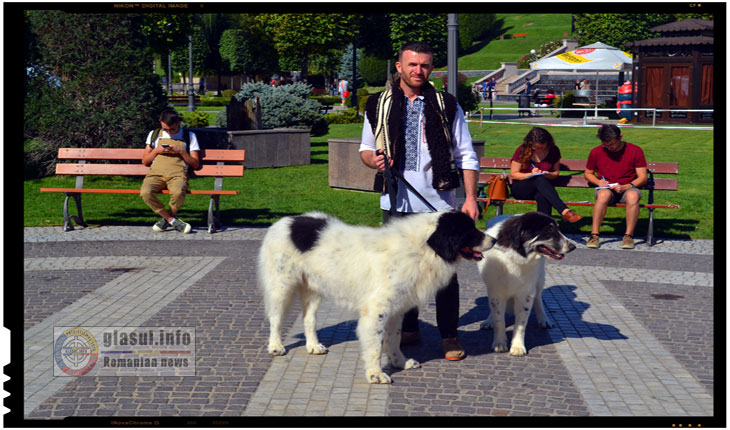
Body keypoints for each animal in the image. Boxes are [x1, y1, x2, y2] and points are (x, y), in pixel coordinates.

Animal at [258, 211, 492, 382]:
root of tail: (285, 221)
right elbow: (376, 345)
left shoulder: (397, 310)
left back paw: (313, 346)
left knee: (308, 319)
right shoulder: (376, 310)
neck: (420, 249)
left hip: (314, 289)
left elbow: (394, 339)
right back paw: (276, 346)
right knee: (275, 318)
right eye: (469, 231)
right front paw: (375, 374)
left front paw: (400, 362)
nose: (494, 239)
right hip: (282, 286)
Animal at [478, 212, 576, 356]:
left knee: (538, 298)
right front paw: (500, 343)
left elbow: (521, 323)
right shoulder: (496, 291)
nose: (573, 247)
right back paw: (488, 320)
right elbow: (499, 319)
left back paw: (544, 320)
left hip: (539, 279)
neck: (515, 256)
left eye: (558, 229)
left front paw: (517, 346)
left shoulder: (526, 293)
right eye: (549, 231)